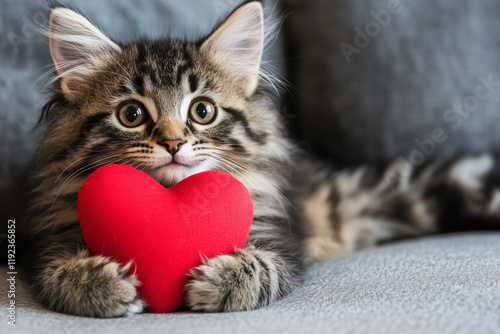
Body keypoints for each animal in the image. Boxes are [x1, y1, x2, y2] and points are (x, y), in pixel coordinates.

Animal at [25, 0, 500, 318]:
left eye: (202, 111)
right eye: (131, 115)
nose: (174, 143)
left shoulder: (280, 239)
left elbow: (263, 266)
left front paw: (219, 283)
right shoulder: (52, 239)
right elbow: (58, 273)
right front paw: (102, 285)